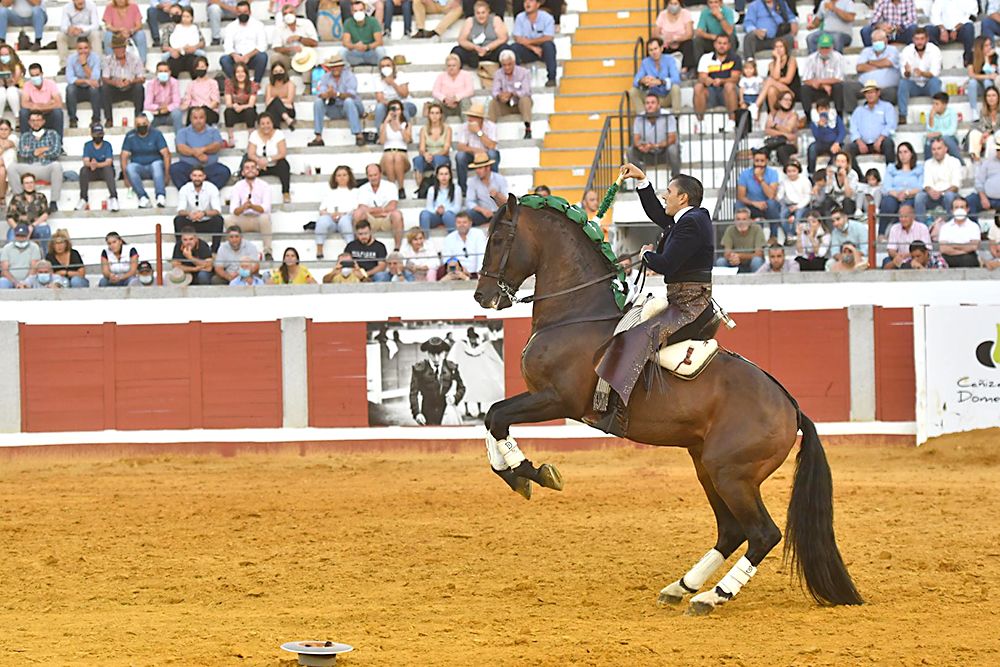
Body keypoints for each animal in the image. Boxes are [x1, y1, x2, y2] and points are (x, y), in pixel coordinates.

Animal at [472, 192, 864, 616]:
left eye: (498, 238)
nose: (482, 296)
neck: (577, 315)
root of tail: (790, 407)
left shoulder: (557, 399)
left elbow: (497, 417)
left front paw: (532, 473)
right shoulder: (544, 399)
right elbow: (492, 419)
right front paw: (517, 474)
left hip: (732, 474)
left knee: (762, 533)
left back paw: (712, 595)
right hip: (707, 467)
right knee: (732, 530)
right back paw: (681, 586)